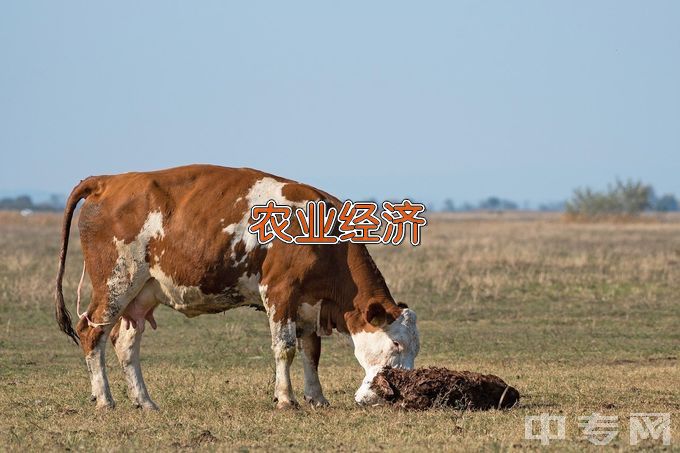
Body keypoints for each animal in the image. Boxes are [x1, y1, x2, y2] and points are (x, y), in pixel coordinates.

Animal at [55, 164, 420, 408]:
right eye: (396, 344)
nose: (399, 391)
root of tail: (107, 182)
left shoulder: (307, 302)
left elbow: (311, 351)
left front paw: (317, 398)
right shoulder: (280, 292)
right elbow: (285, 348)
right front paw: (286, 400)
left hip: (143, 292)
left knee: (125, 343)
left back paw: (145, 402)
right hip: (116, 283)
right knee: (92, 334)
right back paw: (105, 400)